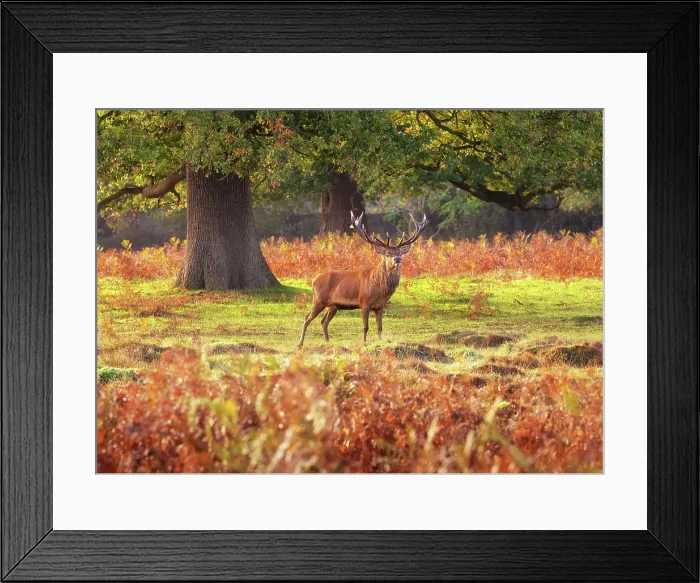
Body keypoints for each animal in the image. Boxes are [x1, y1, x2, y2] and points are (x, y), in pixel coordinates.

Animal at [297, 210, 428, 348]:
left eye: (400, 253)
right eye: (387, 254)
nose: (397, 259)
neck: (379, 286)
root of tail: (313, 280)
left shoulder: (380, 306)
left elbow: (379, 327)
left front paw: (380, 342)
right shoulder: (364, 303)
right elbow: (365, 326)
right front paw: (364, 343)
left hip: (333, 305)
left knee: (323, 321)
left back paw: (328, 342)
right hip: (318, 300)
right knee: (306, 318)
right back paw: (300, 344)